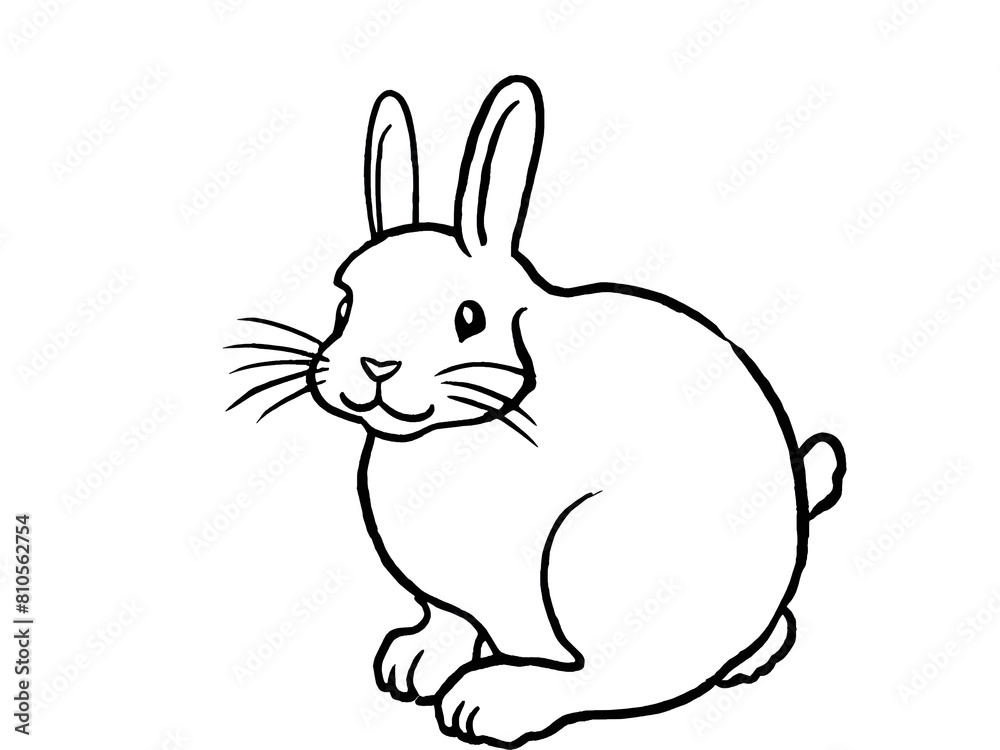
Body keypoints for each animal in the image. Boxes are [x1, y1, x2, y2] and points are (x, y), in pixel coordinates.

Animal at [227, 75, 846, 747]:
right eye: (344, 305)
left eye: (468, 317)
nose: (375, 365)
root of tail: (796, 516)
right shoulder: (448, 597)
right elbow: (446, 618)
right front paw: (411, 663)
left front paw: (465, 690)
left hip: (597, 554)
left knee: (614, 674)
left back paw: (493, 702)